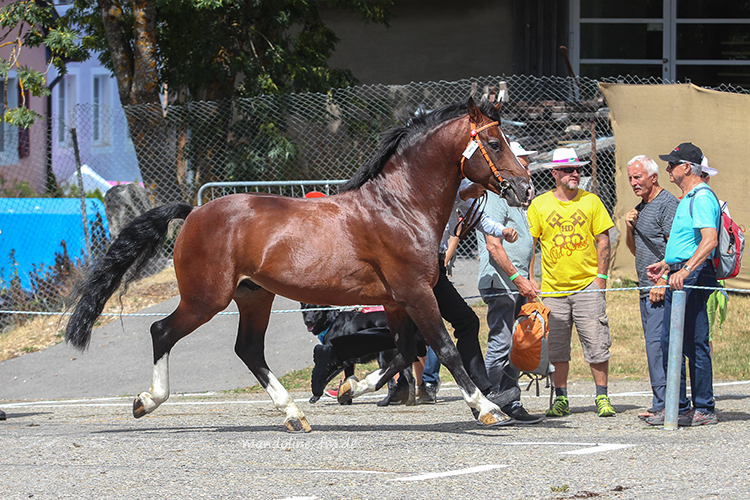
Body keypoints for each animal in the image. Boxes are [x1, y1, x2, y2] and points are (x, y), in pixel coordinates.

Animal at [65, 97, 532, 432]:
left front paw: (351, 389)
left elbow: (403, 352)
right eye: (494, 144)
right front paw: (486, 407)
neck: (399, 206)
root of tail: (194, 212)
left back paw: (294, 414)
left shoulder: (397, 300)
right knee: (162, 331)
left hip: (254, 296)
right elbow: (445, 348)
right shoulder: (416, 293)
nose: (525, 189)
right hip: (206, 298)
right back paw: (146, 401)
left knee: (248, 349)